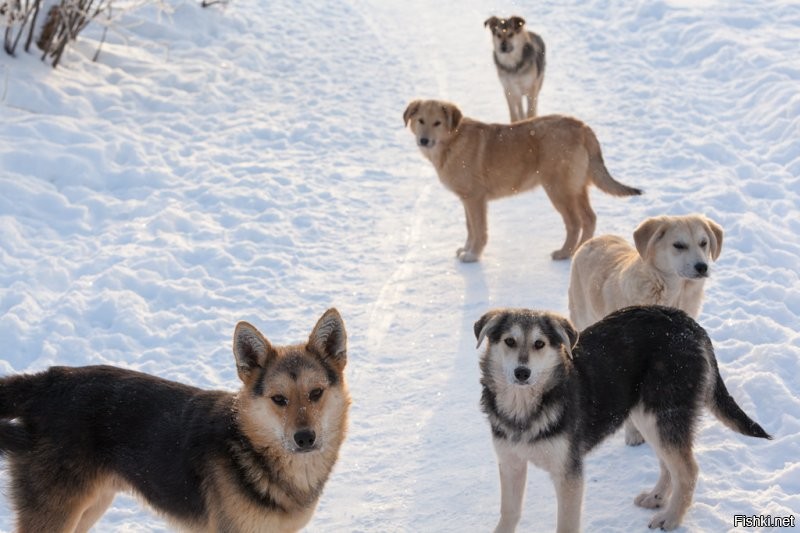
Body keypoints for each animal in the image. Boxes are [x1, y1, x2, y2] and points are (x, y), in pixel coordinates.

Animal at [0, 308, 350, 532]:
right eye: (279, 399)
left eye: (316, 393)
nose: (305, 438)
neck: (248, 447)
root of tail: (48, 380)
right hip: (57, 511)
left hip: (91, 504)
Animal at [404, 100, 640, 262]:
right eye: (420, 120)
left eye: (437, 123)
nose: (424, 140)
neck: (452, 141)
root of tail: (582, 127)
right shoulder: (467, 199)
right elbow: (470, 227)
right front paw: (467, 249)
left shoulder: (475, 199)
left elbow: (479, 230)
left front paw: (473, 255)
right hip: (577, 187)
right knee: (590, 218)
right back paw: (579, 251)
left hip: (558, 189)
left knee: (574, 223)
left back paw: (564, 253)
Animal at [476, 306, 768, 528]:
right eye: (509, 341)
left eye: (539, 344)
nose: (521, 373)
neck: (523, 408)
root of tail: (687, 322)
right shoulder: (510, 463)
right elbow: (509, 513)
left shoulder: (569, 473)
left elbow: (566, 524)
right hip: (648, 418)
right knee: (669, 465)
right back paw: (657, 497)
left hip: (662, 415)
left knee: (688, 471)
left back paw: (671, 518)